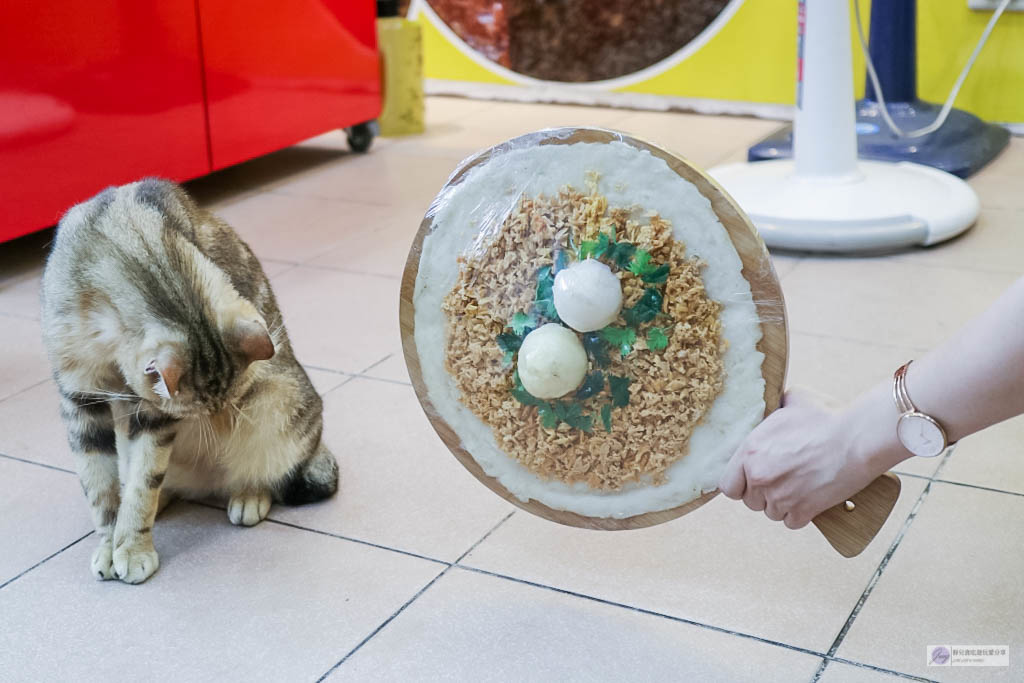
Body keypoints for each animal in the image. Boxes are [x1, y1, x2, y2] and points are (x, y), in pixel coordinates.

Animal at [40, 179, 335, 585]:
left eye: (217, 407)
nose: (215, 420)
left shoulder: (154, 415)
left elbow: (143, 483)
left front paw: (132, 548)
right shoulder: (80, 398)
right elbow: (100, 488)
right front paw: (110, 542)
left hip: (276, 402)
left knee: (261, 469)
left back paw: (248, 495)